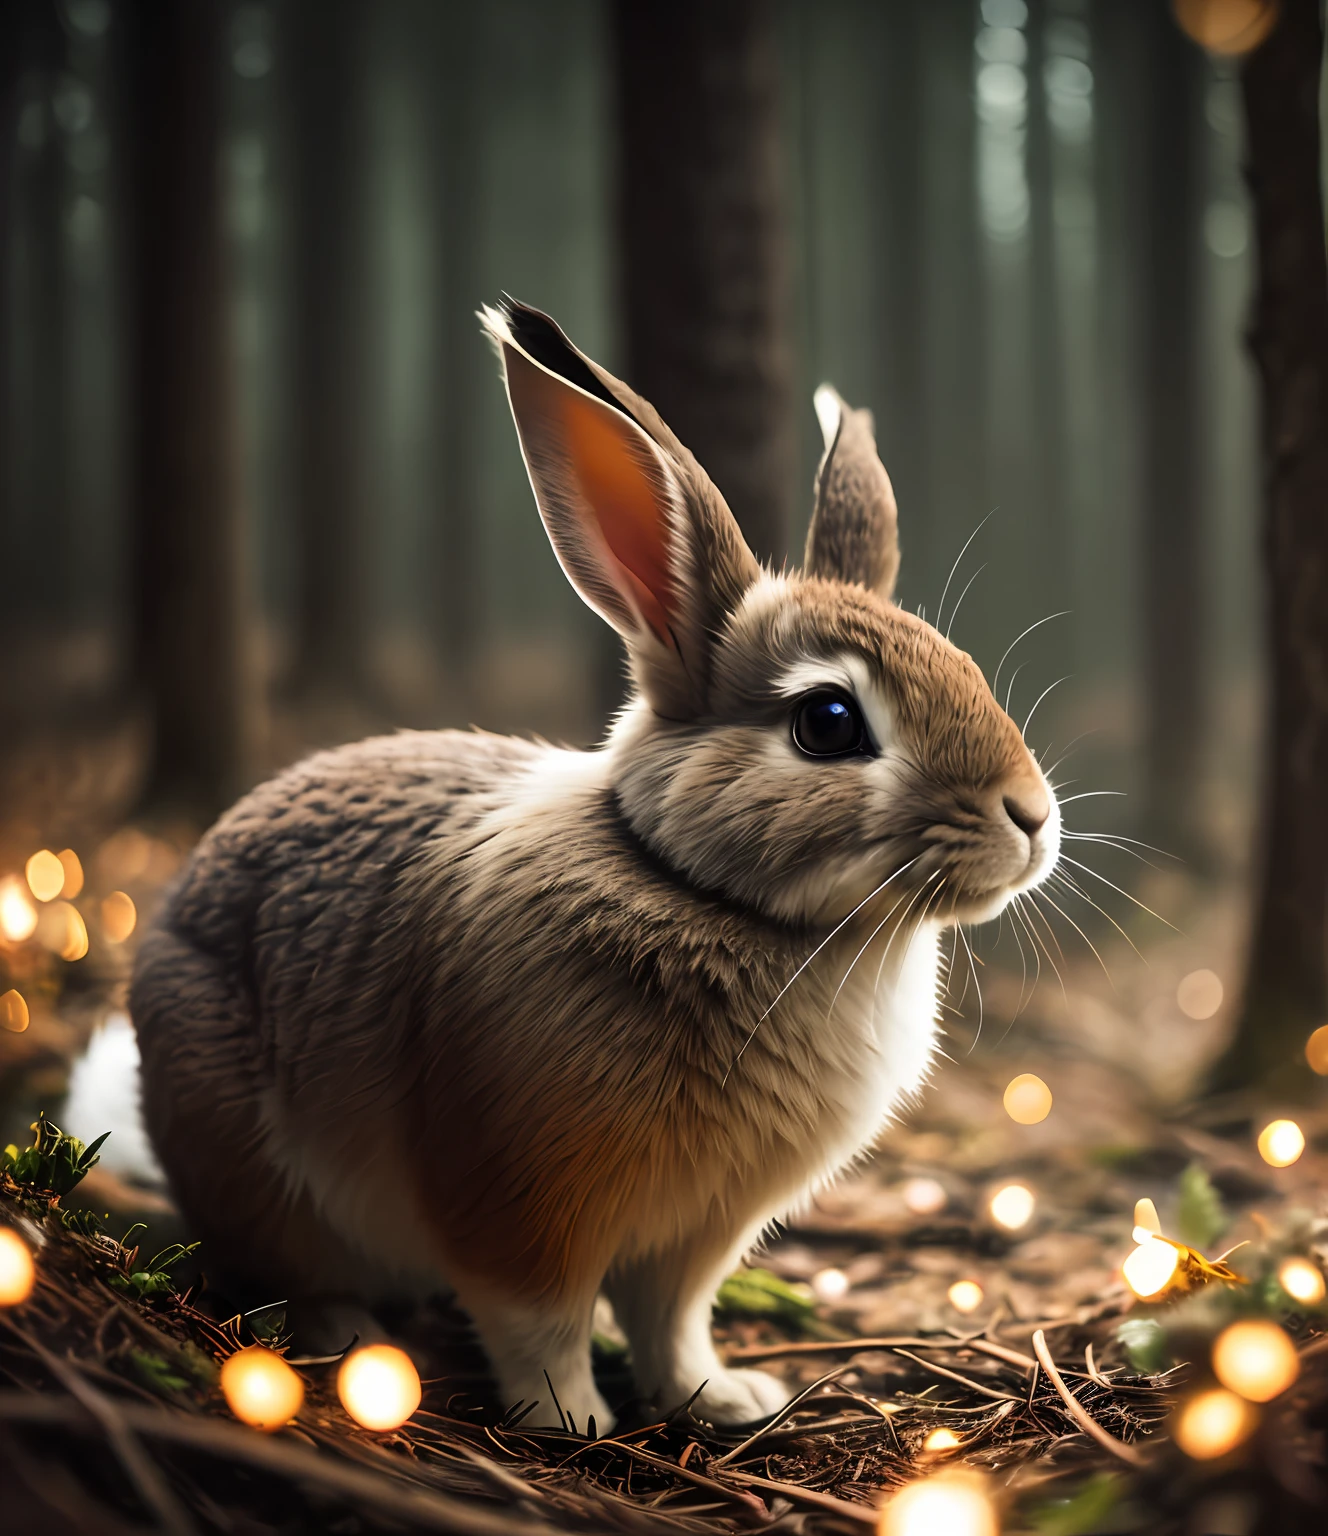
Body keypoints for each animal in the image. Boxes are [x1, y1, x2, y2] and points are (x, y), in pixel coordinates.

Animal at [132, 302, 1056, 1437]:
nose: (1032, 816)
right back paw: (348, 1336)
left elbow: (673, 1319)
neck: (705, 894)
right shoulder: (517, 1198)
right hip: (241, 1149)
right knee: (284, 1268)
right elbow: (538, 1321)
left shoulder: (699, 1233)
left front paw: (720, 1396)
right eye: (829, 722)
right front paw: (570, 1420)